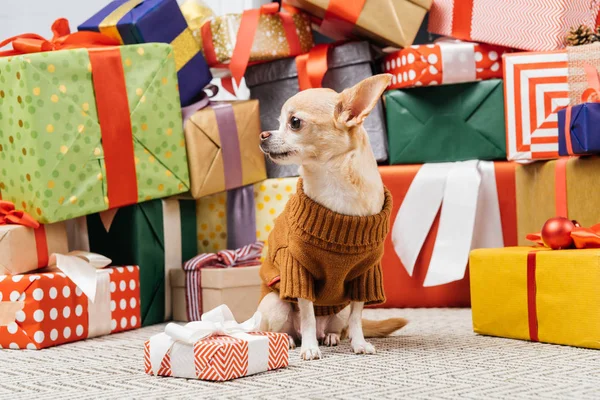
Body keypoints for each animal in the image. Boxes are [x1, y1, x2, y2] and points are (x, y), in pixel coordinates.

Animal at [255, 74, 406, 360]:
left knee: (338, 326)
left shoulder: (365, 276)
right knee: (282, 330)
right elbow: (308, 315)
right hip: (274, 303)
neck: (334, 183)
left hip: (339, 310)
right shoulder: (298, 271)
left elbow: (357, 318)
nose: (263, 134)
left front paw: (359, 343)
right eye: (278, 122)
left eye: (294, 122)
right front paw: (309, 348)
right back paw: (292, 341)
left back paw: (331, 337)